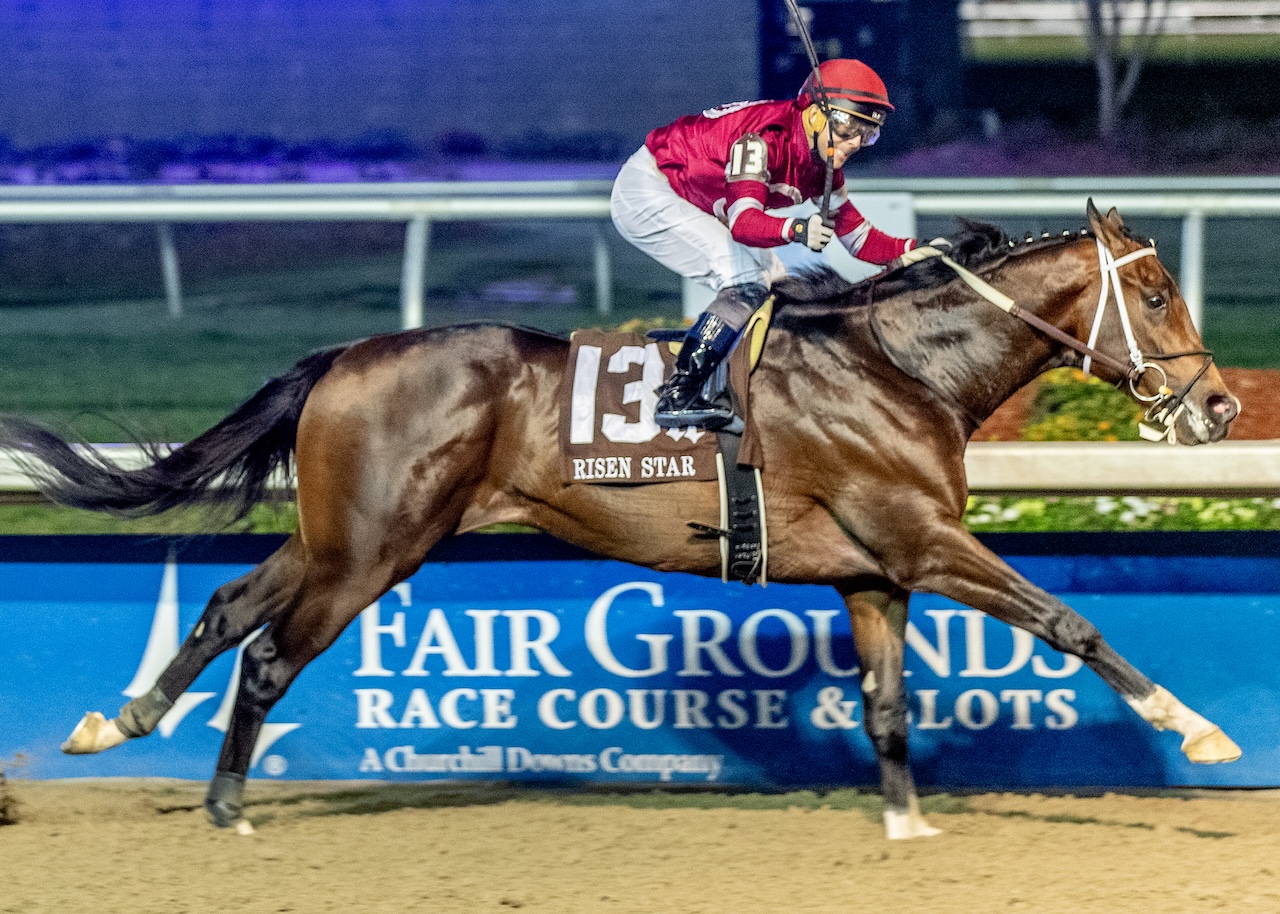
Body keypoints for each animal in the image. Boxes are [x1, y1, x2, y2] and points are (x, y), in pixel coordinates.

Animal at [0, 197, 1239, 834]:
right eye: (1155, 292)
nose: (1218, 405)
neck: (900, 365)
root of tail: (343, 355)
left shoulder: (871, 570)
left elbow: (886, 704)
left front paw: (904, 822)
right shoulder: (923, 540)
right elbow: (1068, 622)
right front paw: (1195, 730)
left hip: (340, 532)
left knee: (222, 605)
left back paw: (115, 721)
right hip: (375, 548)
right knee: (265, 654)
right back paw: (224, 805)